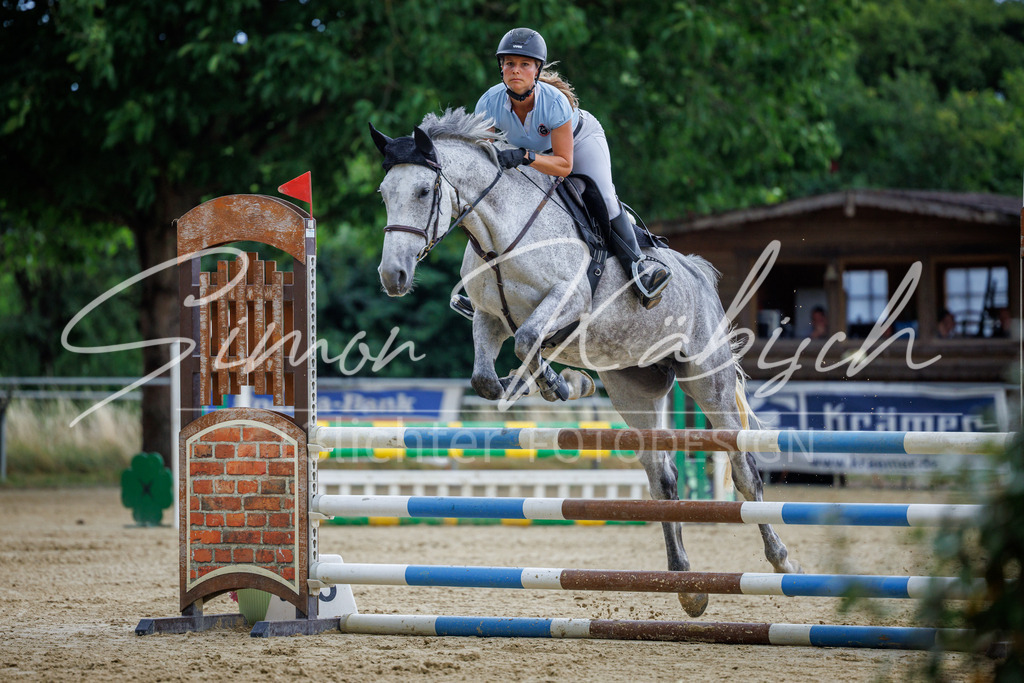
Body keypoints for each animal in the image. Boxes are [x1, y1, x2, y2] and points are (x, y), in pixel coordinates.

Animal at [369, 108, 800, 617]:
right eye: (384, 194)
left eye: (423, 191)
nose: (393, 276)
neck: (500, 237)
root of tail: (697, 272)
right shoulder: (490, 319)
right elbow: (486, 377)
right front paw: (557, 383)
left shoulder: (568, 300)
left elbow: (529, 340)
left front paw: (562, 385)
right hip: (633, 387)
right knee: (663, 479)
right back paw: (688, 587)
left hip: (706, 377)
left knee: (743, 469)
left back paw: (780, 561)